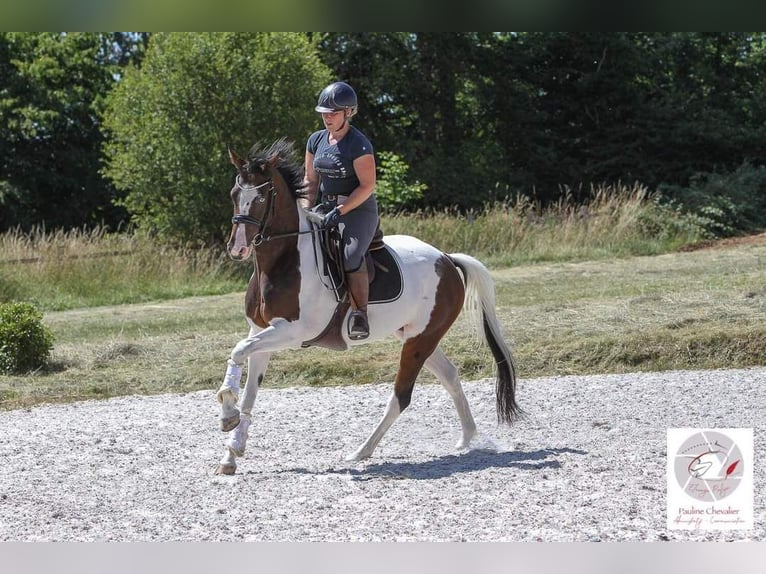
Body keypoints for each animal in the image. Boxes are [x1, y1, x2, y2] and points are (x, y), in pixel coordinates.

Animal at [214, 138, 520, 476]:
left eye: (262, 197)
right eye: (234, 194)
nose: (237, 249)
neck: (282, 262)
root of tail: (448, 260)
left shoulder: (293, 331)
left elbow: (238, 351)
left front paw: (227, 413)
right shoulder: (260, 330)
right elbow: (249, 391)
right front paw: (231, 451)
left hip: (420, 340)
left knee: (401, 396)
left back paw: (361, 451)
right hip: (417, 336)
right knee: (450, 375)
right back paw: (468, 437)